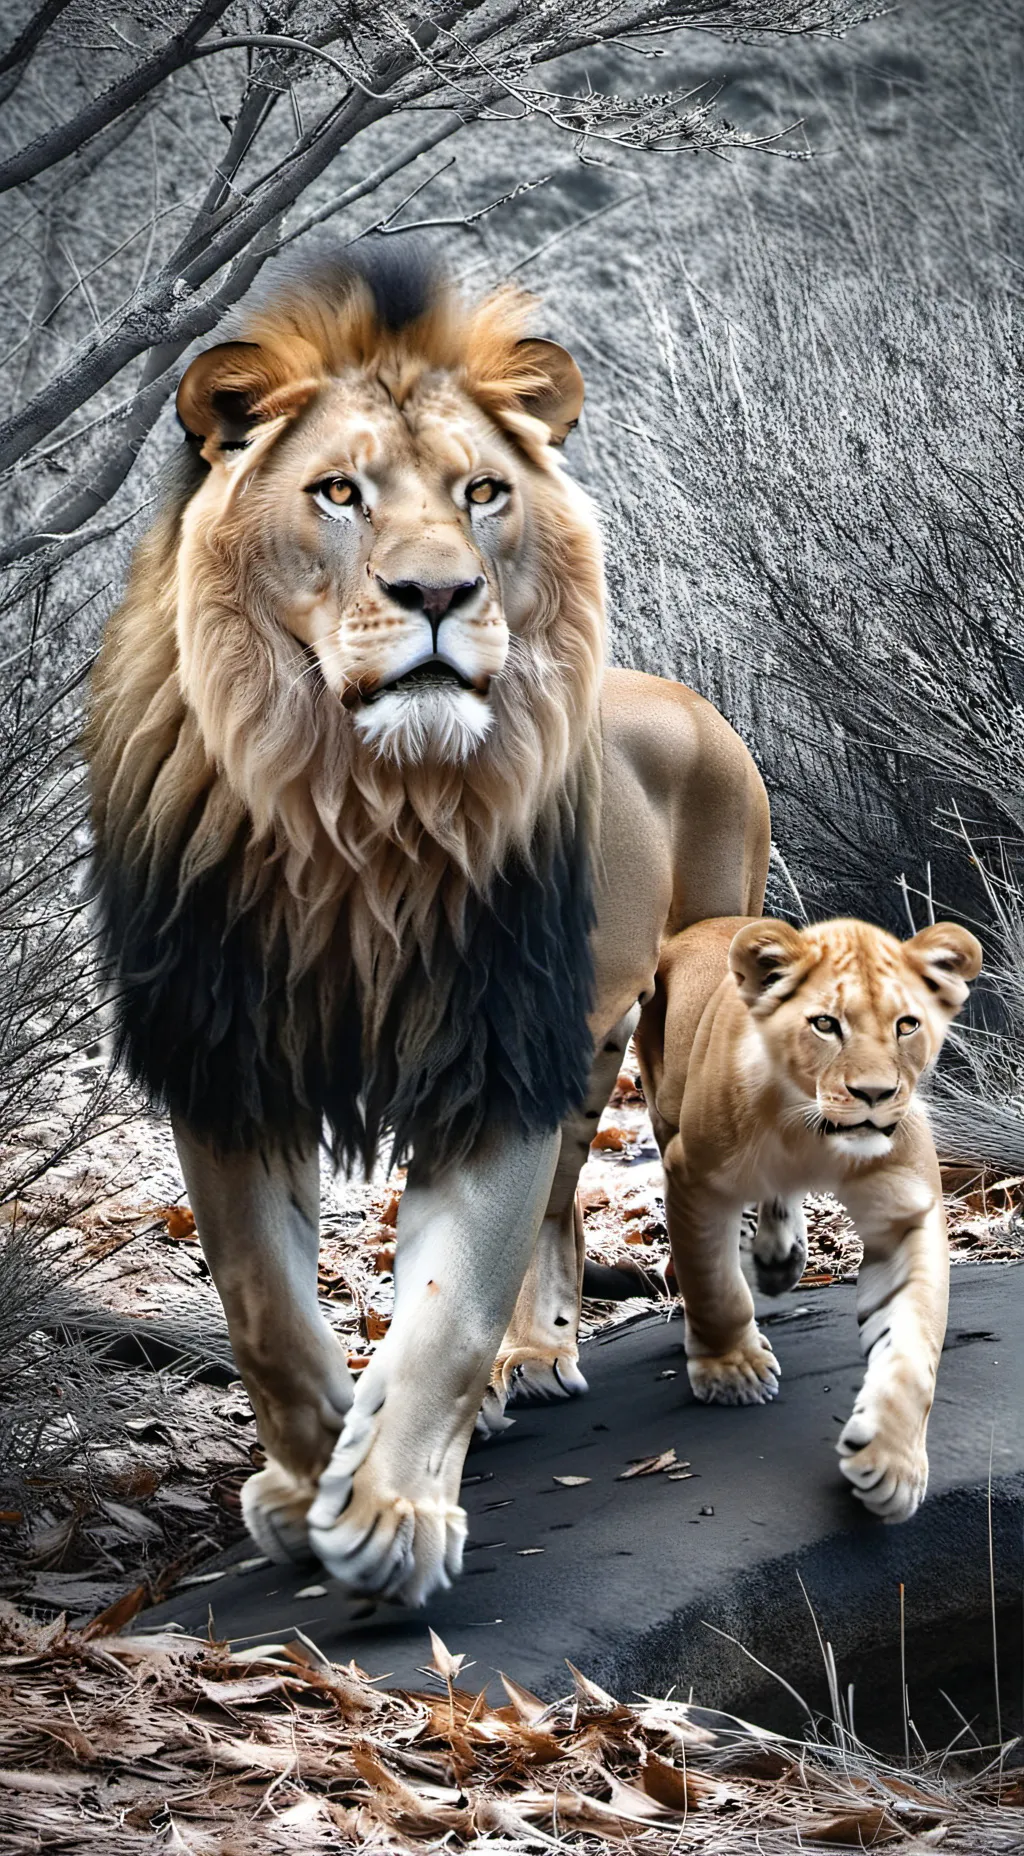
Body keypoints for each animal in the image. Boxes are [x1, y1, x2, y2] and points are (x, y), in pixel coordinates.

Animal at [86, 244, 769, 1604]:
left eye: (483, 491)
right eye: (338, 492)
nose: (441, 591)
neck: (359, 807)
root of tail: (690, 699)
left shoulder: (492, 1045)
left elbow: (448, 1300)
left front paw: (391, 1511)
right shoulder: (228, 1054)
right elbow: (263, 1300)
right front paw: (307, 1486)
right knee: (563, 1195)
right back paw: (535, 1361)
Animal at [633, 914, 982, 1522]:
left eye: (906, 1025)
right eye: (825, 1024)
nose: (875, 1094)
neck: (809, 1129)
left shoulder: (907, 1211)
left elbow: (913, 1343)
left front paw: (893, 1465)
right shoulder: (693, 1176)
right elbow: (713, 1285)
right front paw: (732, 1373)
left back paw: (781, 1257)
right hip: (660, 1106)